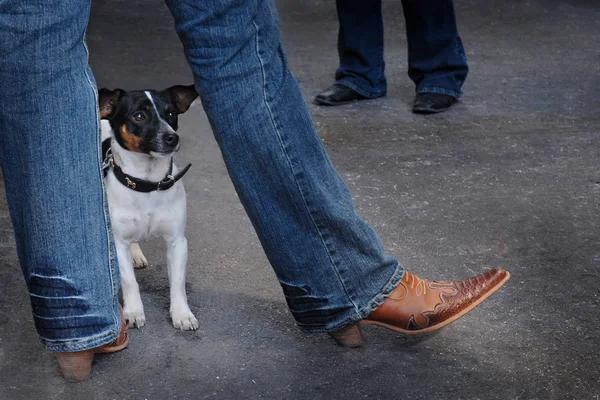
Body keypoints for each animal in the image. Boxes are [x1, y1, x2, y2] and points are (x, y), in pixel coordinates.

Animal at [98, 85, 199, 332]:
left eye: (170, 113)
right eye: (139, 116)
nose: (172, 137)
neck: (147, 183)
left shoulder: (177, 242)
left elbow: (178, 283)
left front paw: (182, 314)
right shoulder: (118, 243)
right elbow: (129, 281)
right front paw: (134, 312)